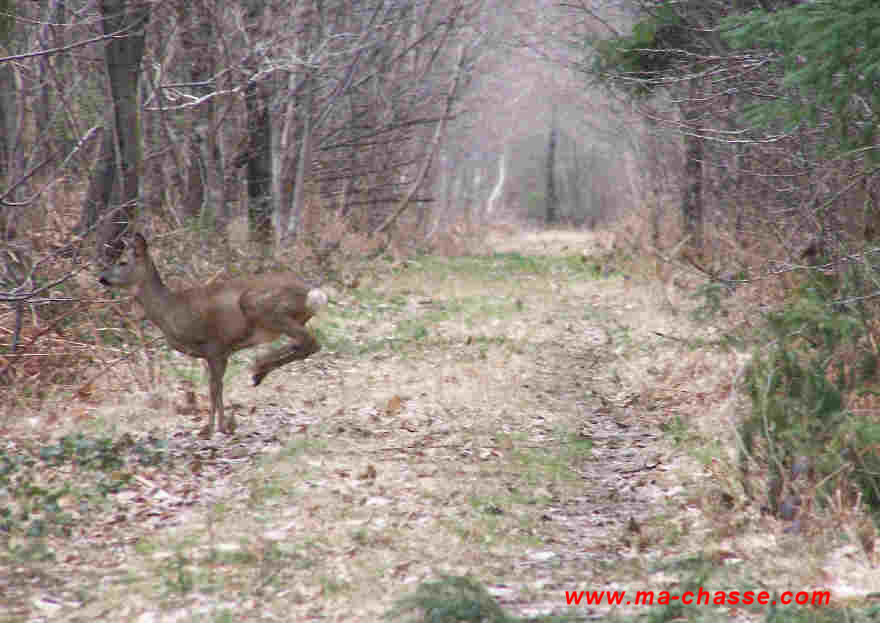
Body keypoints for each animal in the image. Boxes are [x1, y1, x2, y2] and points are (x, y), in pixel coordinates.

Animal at [99, 235, 326, 438]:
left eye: (122, 262)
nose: (102, 278)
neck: (170, 310)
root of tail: (312, 293)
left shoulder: (214, 345)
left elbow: (213, 388)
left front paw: (210, 429)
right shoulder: (221, 352)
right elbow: (218, 386)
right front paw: (220, 426)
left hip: (260, 306)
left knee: (311, 342)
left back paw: (259, 366)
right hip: (288, 319)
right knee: (305, 343)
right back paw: (260, 369)